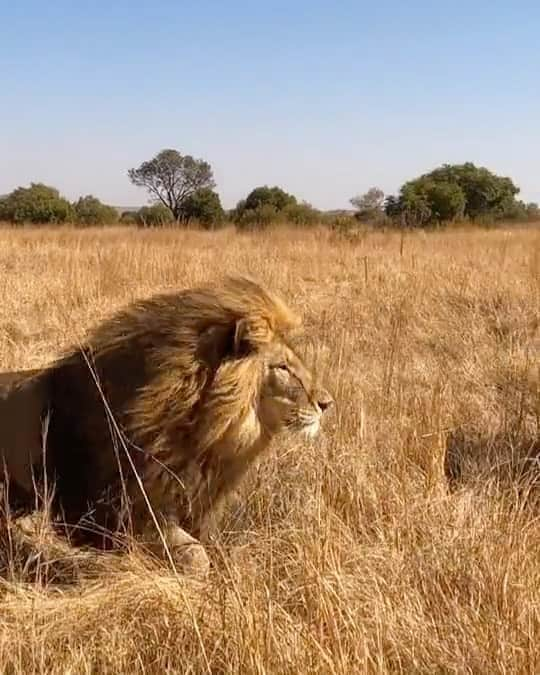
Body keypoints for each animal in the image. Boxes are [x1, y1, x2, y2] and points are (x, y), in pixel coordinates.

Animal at [0, 274, 334, 576]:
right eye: (283, 367)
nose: (327, 403)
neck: (208, 433)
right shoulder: (116, 512)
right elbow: (196, 555)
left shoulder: (197, 505)